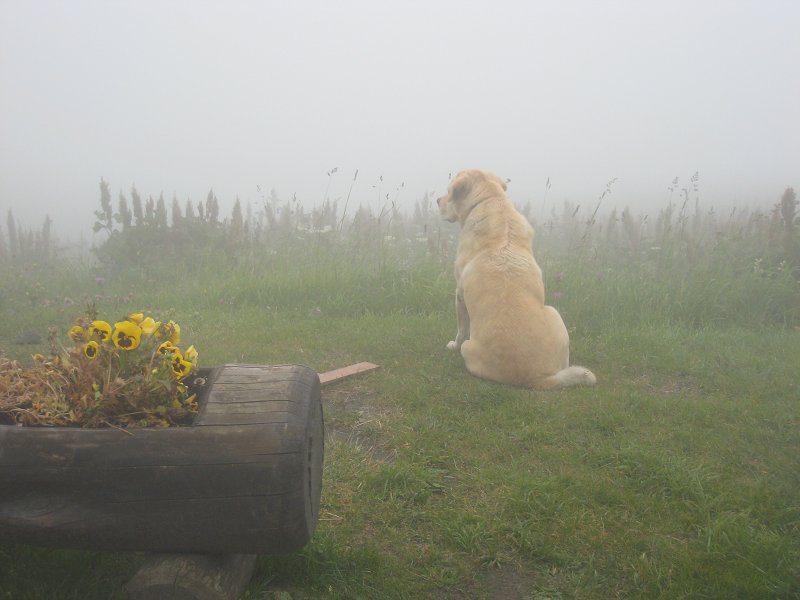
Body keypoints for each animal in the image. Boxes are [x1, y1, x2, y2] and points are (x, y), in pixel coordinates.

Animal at [437, 169, 596, 390]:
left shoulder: (459, 295)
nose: (437, 201)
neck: (490, 200)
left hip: (472, 346)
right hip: (555, 315)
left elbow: (462, 329)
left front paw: (452, 344)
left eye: (449, 192)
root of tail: (536, 379)